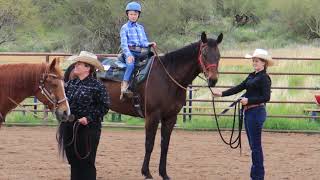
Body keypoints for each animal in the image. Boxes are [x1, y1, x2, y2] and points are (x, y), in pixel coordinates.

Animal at [63, 31, 221, 179]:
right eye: (204, 54)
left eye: (219, 55)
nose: (213, 80)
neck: (168, 77)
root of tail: (74, 65)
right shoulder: (152, 116)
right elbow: (149, 144)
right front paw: (146, 172)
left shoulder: (170, 118)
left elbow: (165, 145)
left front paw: (164, 173)